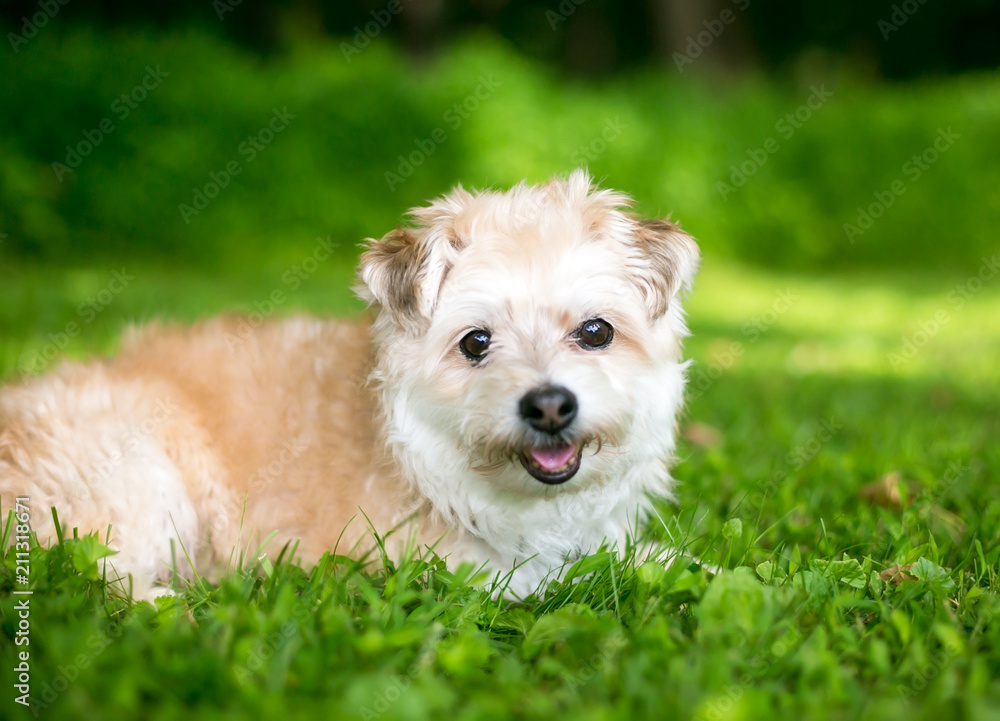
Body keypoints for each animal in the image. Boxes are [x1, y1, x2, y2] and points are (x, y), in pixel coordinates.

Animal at [0, 169, 700, 596]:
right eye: (476, 343)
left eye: (595, 332)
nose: (550, 406)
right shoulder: (448, 570)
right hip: (139, 476)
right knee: (100, 581)